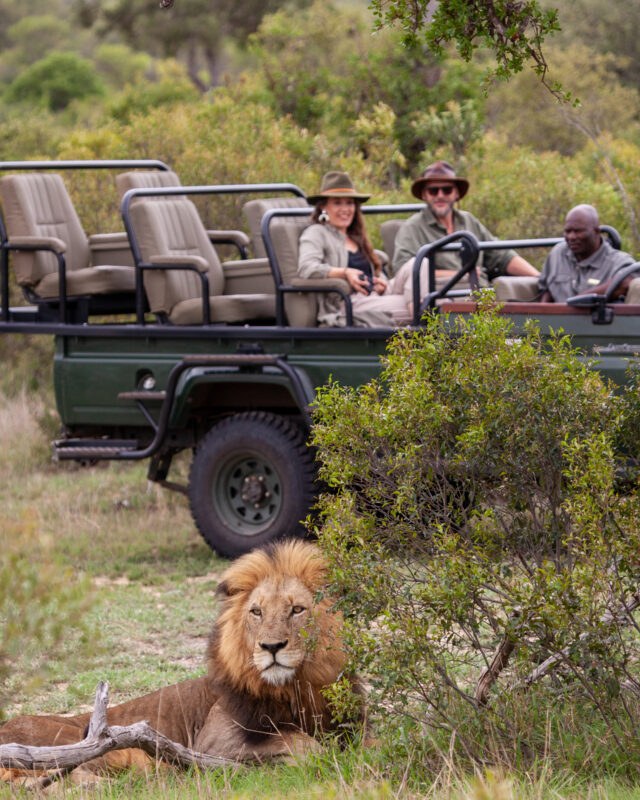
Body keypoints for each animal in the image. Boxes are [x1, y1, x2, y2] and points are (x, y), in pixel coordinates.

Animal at [0, 540, 364, 777]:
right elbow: (305, 745)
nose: (271, 646)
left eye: (297, 610)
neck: (298, 687)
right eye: (257, 612)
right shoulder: (214, 743)